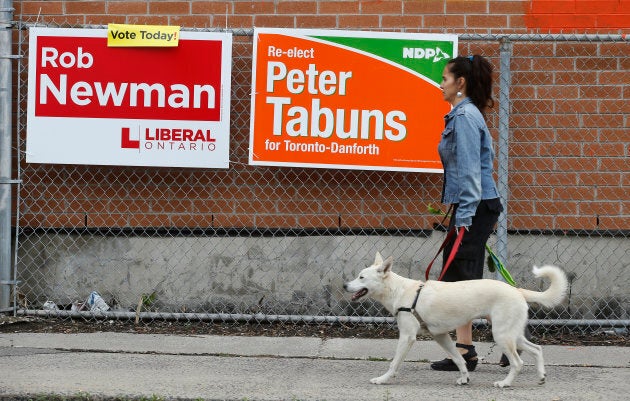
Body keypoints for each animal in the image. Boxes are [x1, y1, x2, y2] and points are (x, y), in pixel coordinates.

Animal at [348, 252, 572, 386]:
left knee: (518, 363)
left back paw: (505, 383)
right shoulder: (441, 336)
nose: (344, 286)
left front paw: (382, 379)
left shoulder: (407, 337)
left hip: (501, 335)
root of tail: (516, 290)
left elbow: (393, 363)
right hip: (511, 334)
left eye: (361, 277)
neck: (401, 291)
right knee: (537, 349)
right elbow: (458, 358)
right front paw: (464, 377)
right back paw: (541, 377)